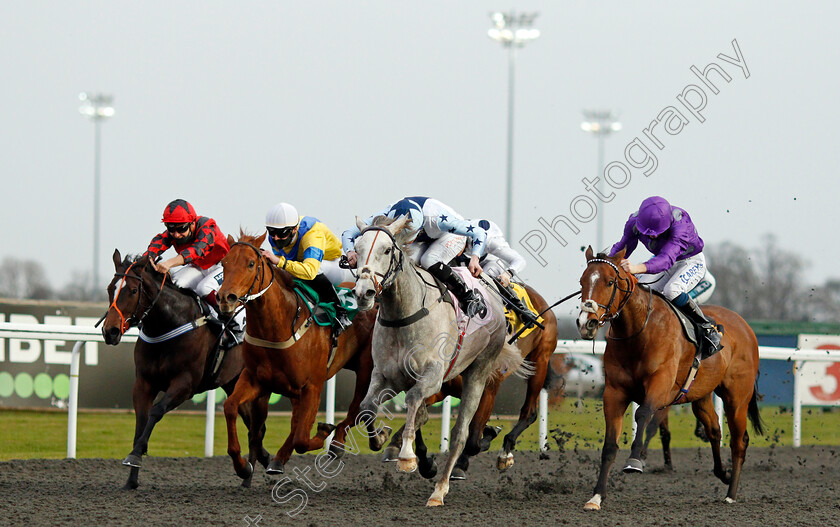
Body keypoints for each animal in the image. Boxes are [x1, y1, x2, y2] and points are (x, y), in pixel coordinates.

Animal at [101, 252, 270, 490]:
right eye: (110, 288)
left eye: (133, 290)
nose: (111, 331)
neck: (168, 323)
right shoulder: (143, 383)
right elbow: (141, 422)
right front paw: (131, 479)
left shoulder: (185, 384)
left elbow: (155, 411)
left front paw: (135, 455)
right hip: (233, 382)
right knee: (253, 425)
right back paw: (259, 464)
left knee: (257, 426)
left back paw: (248, 474)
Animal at [215, 232, 388, 482]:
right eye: (224, 263)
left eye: (250, 264)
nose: (224, 298)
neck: (280, 326)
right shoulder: (256, 379)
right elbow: (230, 407)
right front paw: (242, 466)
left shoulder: (312, 386)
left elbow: (302, 439)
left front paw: (325, 431)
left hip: (366, 369)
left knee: (358, 407)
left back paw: (340, 441)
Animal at [350, 216, 524, 508]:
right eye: (357, 249)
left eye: (386, 250)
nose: (364, 292)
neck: (403, 314)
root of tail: (491, 289)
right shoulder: (385, 376)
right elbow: (366, 407)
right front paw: (381, 438)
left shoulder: (431, 376)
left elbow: (412, 401)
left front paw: (407, 457)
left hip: (479, 372)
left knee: (460, 435)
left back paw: (440, 489)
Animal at [382, 282, 556, 480]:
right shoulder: (437, 388)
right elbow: (419, 418)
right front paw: (423, 461)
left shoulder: (487, 388)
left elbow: (473, 440)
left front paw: (463, 461)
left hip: (540, 361)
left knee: (529, 412)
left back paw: (505, 452)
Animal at [576, 249, 760, 512]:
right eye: (582, 282)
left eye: (610, 282)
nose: (586, 323)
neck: (639, 332)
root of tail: (745, 326)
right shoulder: (614, 393)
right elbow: (610, 445)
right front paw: (596, 497)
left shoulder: (661, 386)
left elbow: (644, 415)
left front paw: (635, 460)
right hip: (701, 396)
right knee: (714, 430)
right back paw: (722, 473)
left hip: (737, 397)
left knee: (739, 441)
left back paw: (731, 493)